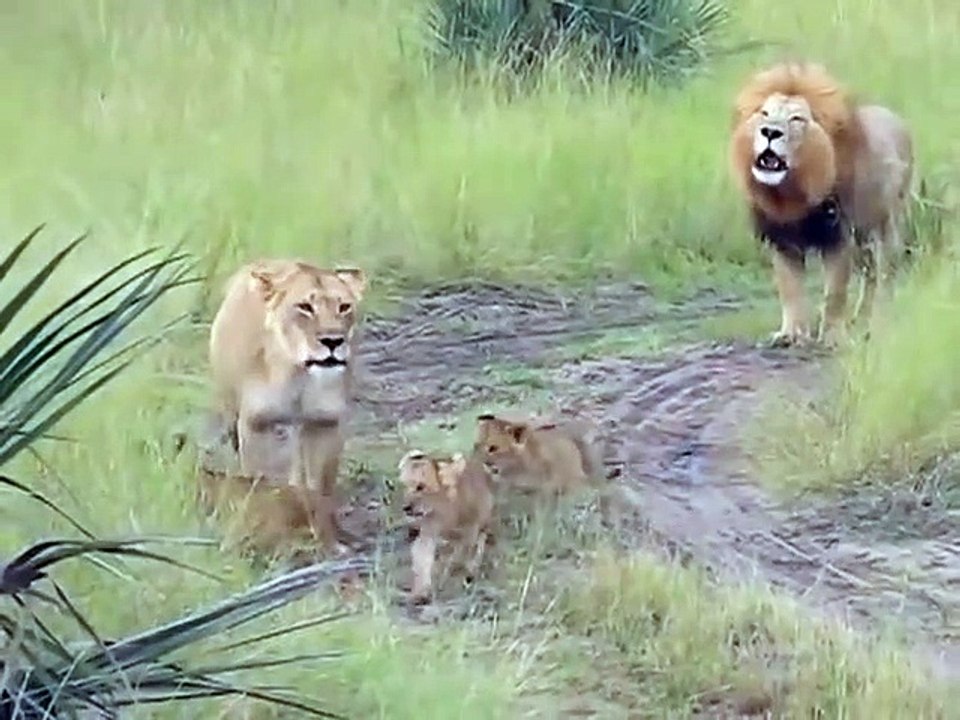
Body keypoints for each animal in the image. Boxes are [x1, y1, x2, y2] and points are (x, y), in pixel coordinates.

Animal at [208, 258, 367, 551]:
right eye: (305, 307)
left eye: (344, 307)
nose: (333, 341)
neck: (297, 373)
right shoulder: (257, 425)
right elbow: (261, 484)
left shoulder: (324, 424)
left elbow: (319, 491)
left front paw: (329, 542)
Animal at [397, 449, 496, 604]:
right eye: (405, 485)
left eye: (421, 486)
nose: (405, 507)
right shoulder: (429, 533)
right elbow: (423, 559)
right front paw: (420, 593)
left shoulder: (470, 531)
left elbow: (459, 557)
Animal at [729, 62, 914, 346]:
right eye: (765, 114)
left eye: (796, 119)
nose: (770, 132)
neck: (791, 192)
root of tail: (896, 119)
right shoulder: (783, 243)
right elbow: (790, 290)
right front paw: (791, 334)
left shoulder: (837, 237)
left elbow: (835, 293)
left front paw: (832, 337)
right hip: (863, 239)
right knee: (870, 274)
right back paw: (861, 319)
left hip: (886, 227)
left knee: (886, 273)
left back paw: (880, 320)